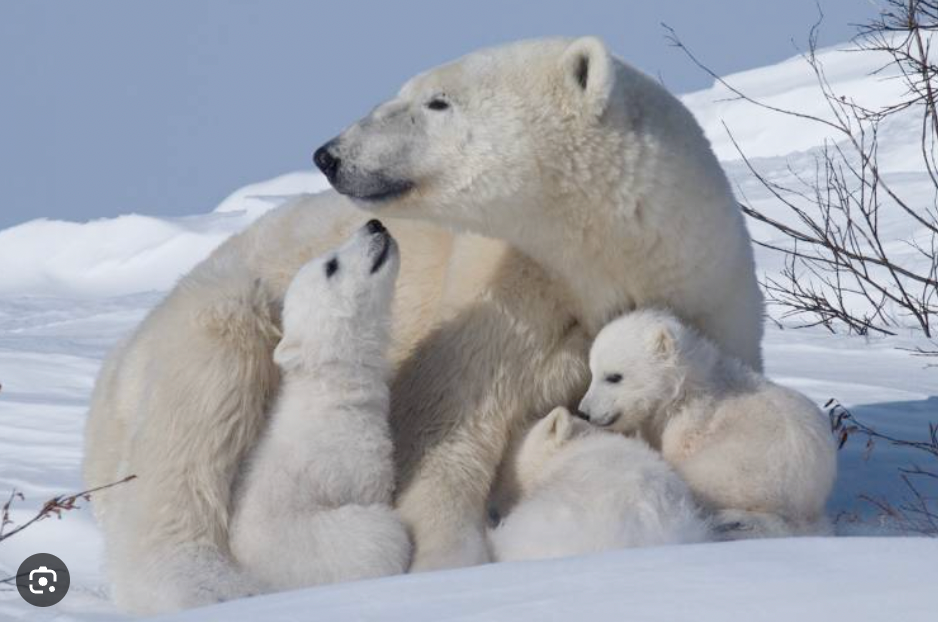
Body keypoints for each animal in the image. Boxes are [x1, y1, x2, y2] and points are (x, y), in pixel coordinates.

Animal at [576, 310, 832, 540]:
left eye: (614, 376)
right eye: (592, 372)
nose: (584, 412)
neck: (686, 388)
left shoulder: (691, 422)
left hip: (742, 468)